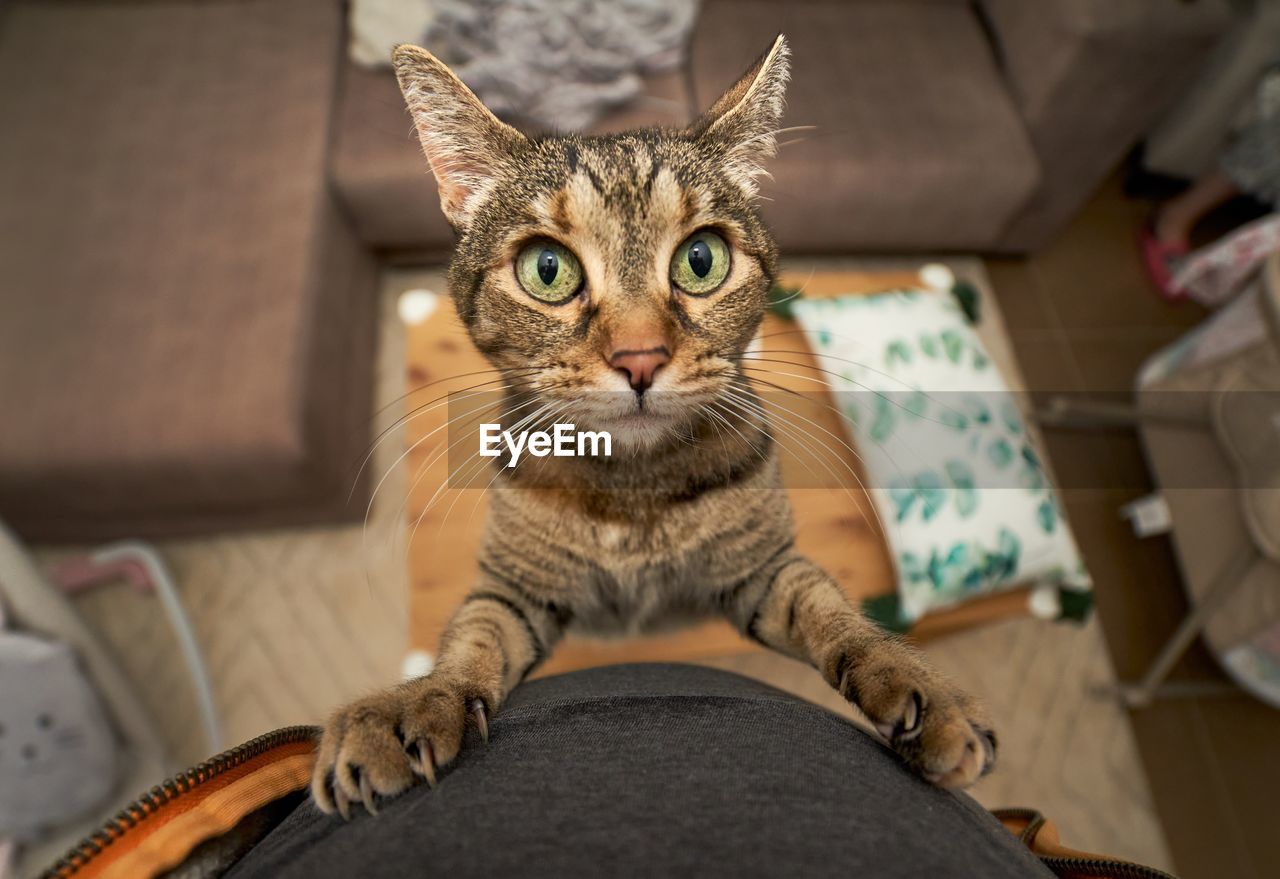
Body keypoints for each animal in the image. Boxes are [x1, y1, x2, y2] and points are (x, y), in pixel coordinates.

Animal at [312, 36, 998, 818]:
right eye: (547, 268)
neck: (633, 489)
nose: (639, 357)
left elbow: (834, 614)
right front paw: (419, 700)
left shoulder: (764, 569)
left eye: (702, 260)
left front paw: (918, 687)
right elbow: (472, 639)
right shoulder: (517, 587)